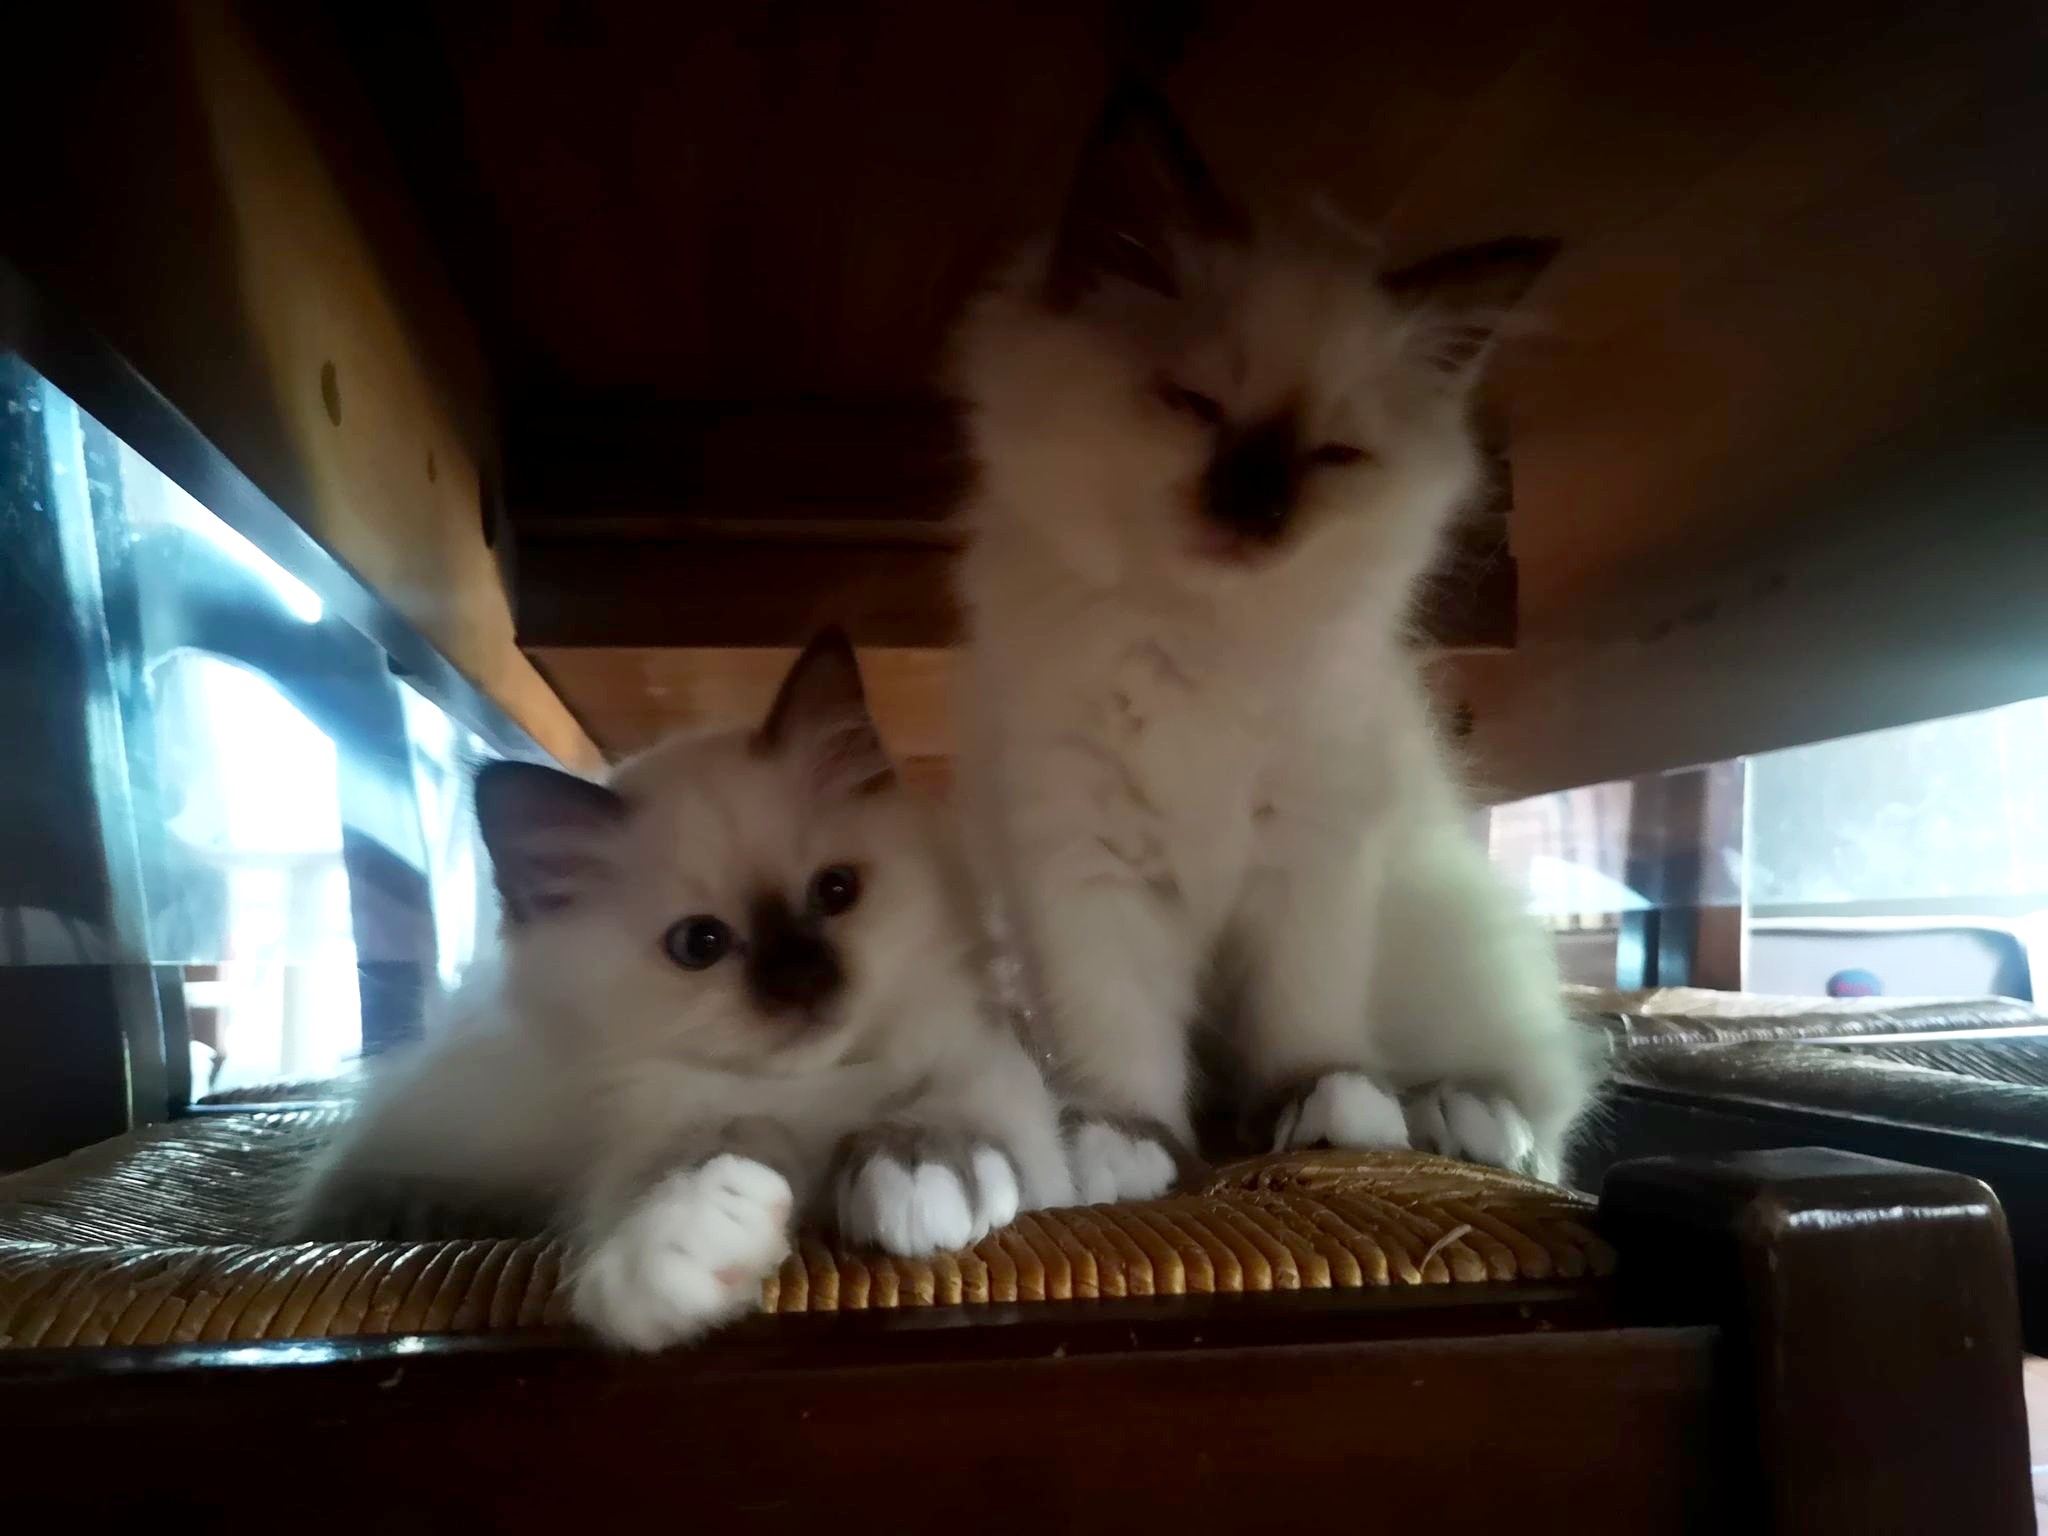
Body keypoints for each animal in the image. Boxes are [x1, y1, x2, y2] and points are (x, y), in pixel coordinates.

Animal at [287, 631, 1073, 1350]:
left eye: (835, 892)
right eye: (701, 945)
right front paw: (689, 1238)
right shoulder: (659, 1121)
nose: (802, 982)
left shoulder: (982, 1066)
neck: (822, 1092)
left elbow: (948, 1112)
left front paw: (917, 1177)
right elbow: (686, 1170)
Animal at [950, 84, 1595, 1199]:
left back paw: (1460, 1114)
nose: (1253, 508)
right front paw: (1124, 1146)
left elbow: (1305, 1023)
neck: (1198, 641)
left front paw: (1327, 1113)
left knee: (1535, 1109)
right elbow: (1117, 1037)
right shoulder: (1084, 861)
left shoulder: (1311, 854)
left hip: (1443, 932)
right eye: (1194, 404)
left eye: (1333, 455)